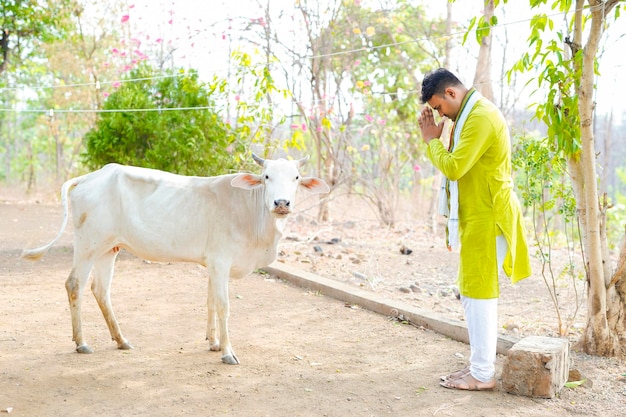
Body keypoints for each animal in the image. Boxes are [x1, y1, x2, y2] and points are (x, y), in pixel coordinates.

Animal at [22, 154, 330, 364]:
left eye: (296, 178)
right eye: (266, 177)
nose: (281, 203)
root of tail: (88, 177)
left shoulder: (212, 264)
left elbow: (209, 303)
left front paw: (213, 342)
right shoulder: (221, 262)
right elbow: (223, 306)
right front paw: (228, 352)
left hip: (108, 248)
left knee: (101, 290)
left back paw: (121, 340)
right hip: (87, 246)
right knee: (74, 284)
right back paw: (82, 342)